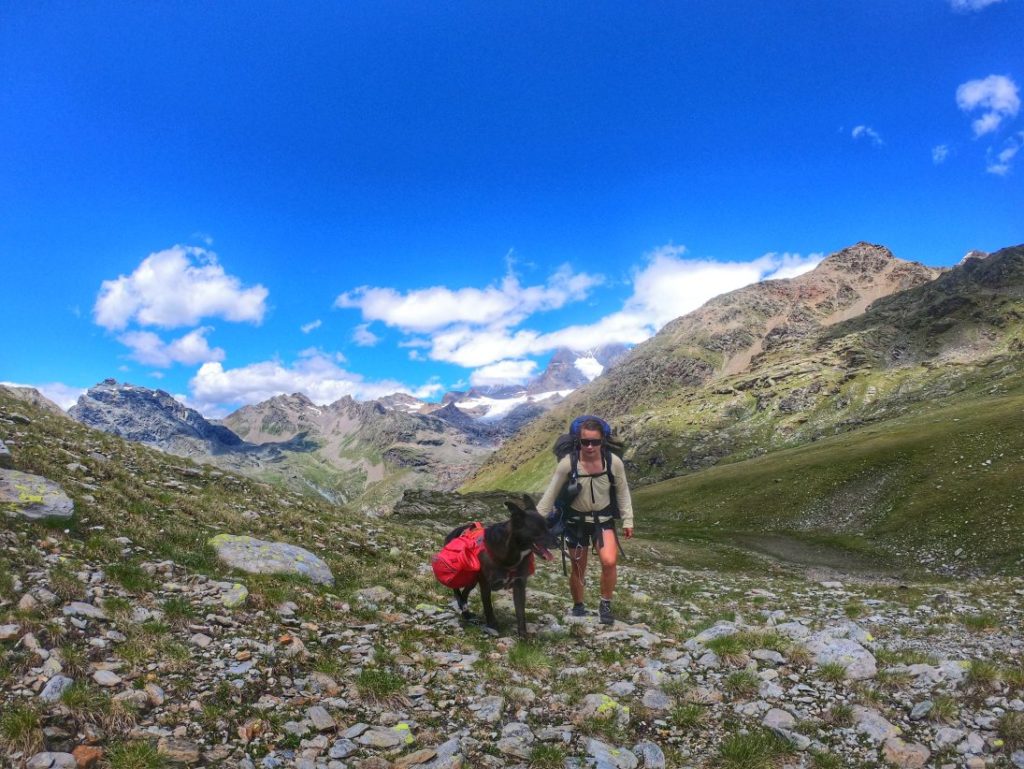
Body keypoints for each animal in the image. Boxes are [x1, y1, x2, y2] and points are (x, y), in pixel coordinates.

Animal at [446, 493, 557, 638]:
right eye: (538, 530)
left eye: (548, 527)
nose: (559, 542)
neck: (514, 552)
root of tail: (454, 531)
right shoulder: (485, 585)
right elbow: (488, 608)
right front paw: (493, 627)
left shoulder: (519, 586)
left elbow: (520, 612)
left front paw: (523, 635)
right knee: (457, 591)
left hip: (473, 580)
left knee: (464, 594)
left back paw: (467, 613)